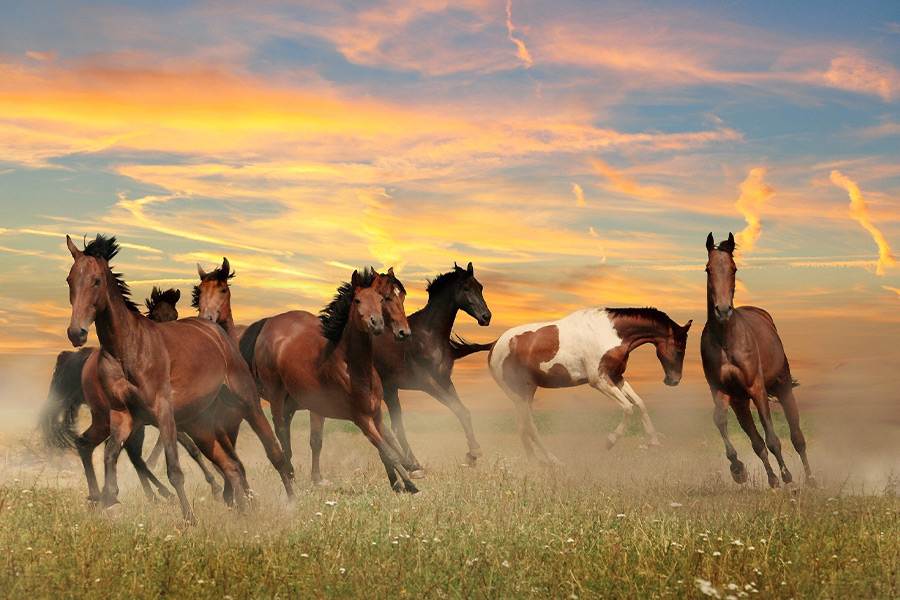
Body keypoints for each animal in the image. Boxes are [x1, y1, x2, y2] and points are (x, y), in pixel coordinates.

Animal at [64, 234, 293, 521]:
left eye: (96, 280)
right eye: (69, 280)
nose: (76, 333)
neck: (126, 348)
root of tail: (216, 332)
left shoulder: (163, 412)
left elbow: (174, 469)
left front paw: (189, 519)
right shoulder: (123, 416)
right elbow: (110, 454)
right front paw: (109, 499)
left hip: (247, 403)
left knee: (273, 452)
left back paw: (292, 503)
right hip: (199, 425)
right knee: (231, 466)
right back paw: (242, 513)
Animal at [240, 268, 420, 493]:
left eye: (398, 297)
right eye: (387, 297)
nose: (403, 332)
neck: (354, 369)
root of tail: (268, 325)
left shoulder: (374, 413)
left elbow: (386, 443)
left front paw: (402, 478)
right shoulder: (360, 417)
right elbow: (387, 450)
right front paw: (409, 482)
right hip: (276, 396)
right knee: (280, 430)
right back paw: (290, 475)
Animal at [372, 261, 493, 473]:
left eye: (481, 287)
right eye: (466, 288)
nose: (486, 317)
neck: (429, 335)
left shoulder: (444, 380)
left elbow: (464, 411)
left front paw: (472, 453)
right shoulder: (426, 383)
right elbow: (457, 409)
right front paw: (474, 453)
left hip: (390, 389)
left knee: (393, 426)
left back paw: (412, 464)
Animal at [488, 307, 692, 465]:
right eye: (679, 350)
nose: (673, 380)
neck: (611, 333)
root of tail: (494, 345)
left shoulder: (616, 376)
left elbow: (640, 404)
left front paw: (654, 444)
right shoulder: (599, 380)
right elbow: (628, 408)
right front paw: (610, 441)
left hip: (527, 392)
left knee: (522, 427)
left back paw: (535, 462)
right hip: (518, 395)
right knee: (530, 427)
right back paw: (555, 461)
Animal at [700, 232, 815, 488]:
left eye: (733, 268)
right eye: (708, 269)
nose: (723, 310)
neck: (726, 341)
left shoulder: (757, 388)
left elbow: (772, 438)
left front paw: (789, 480)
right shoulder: (721, 391)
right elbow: (720, 421)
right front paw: (738, 469)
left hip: (782, 387)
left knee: (797, 437)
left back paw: (810, 479)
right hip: (740, 402)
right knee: (756, 442)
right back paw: (771, 479)